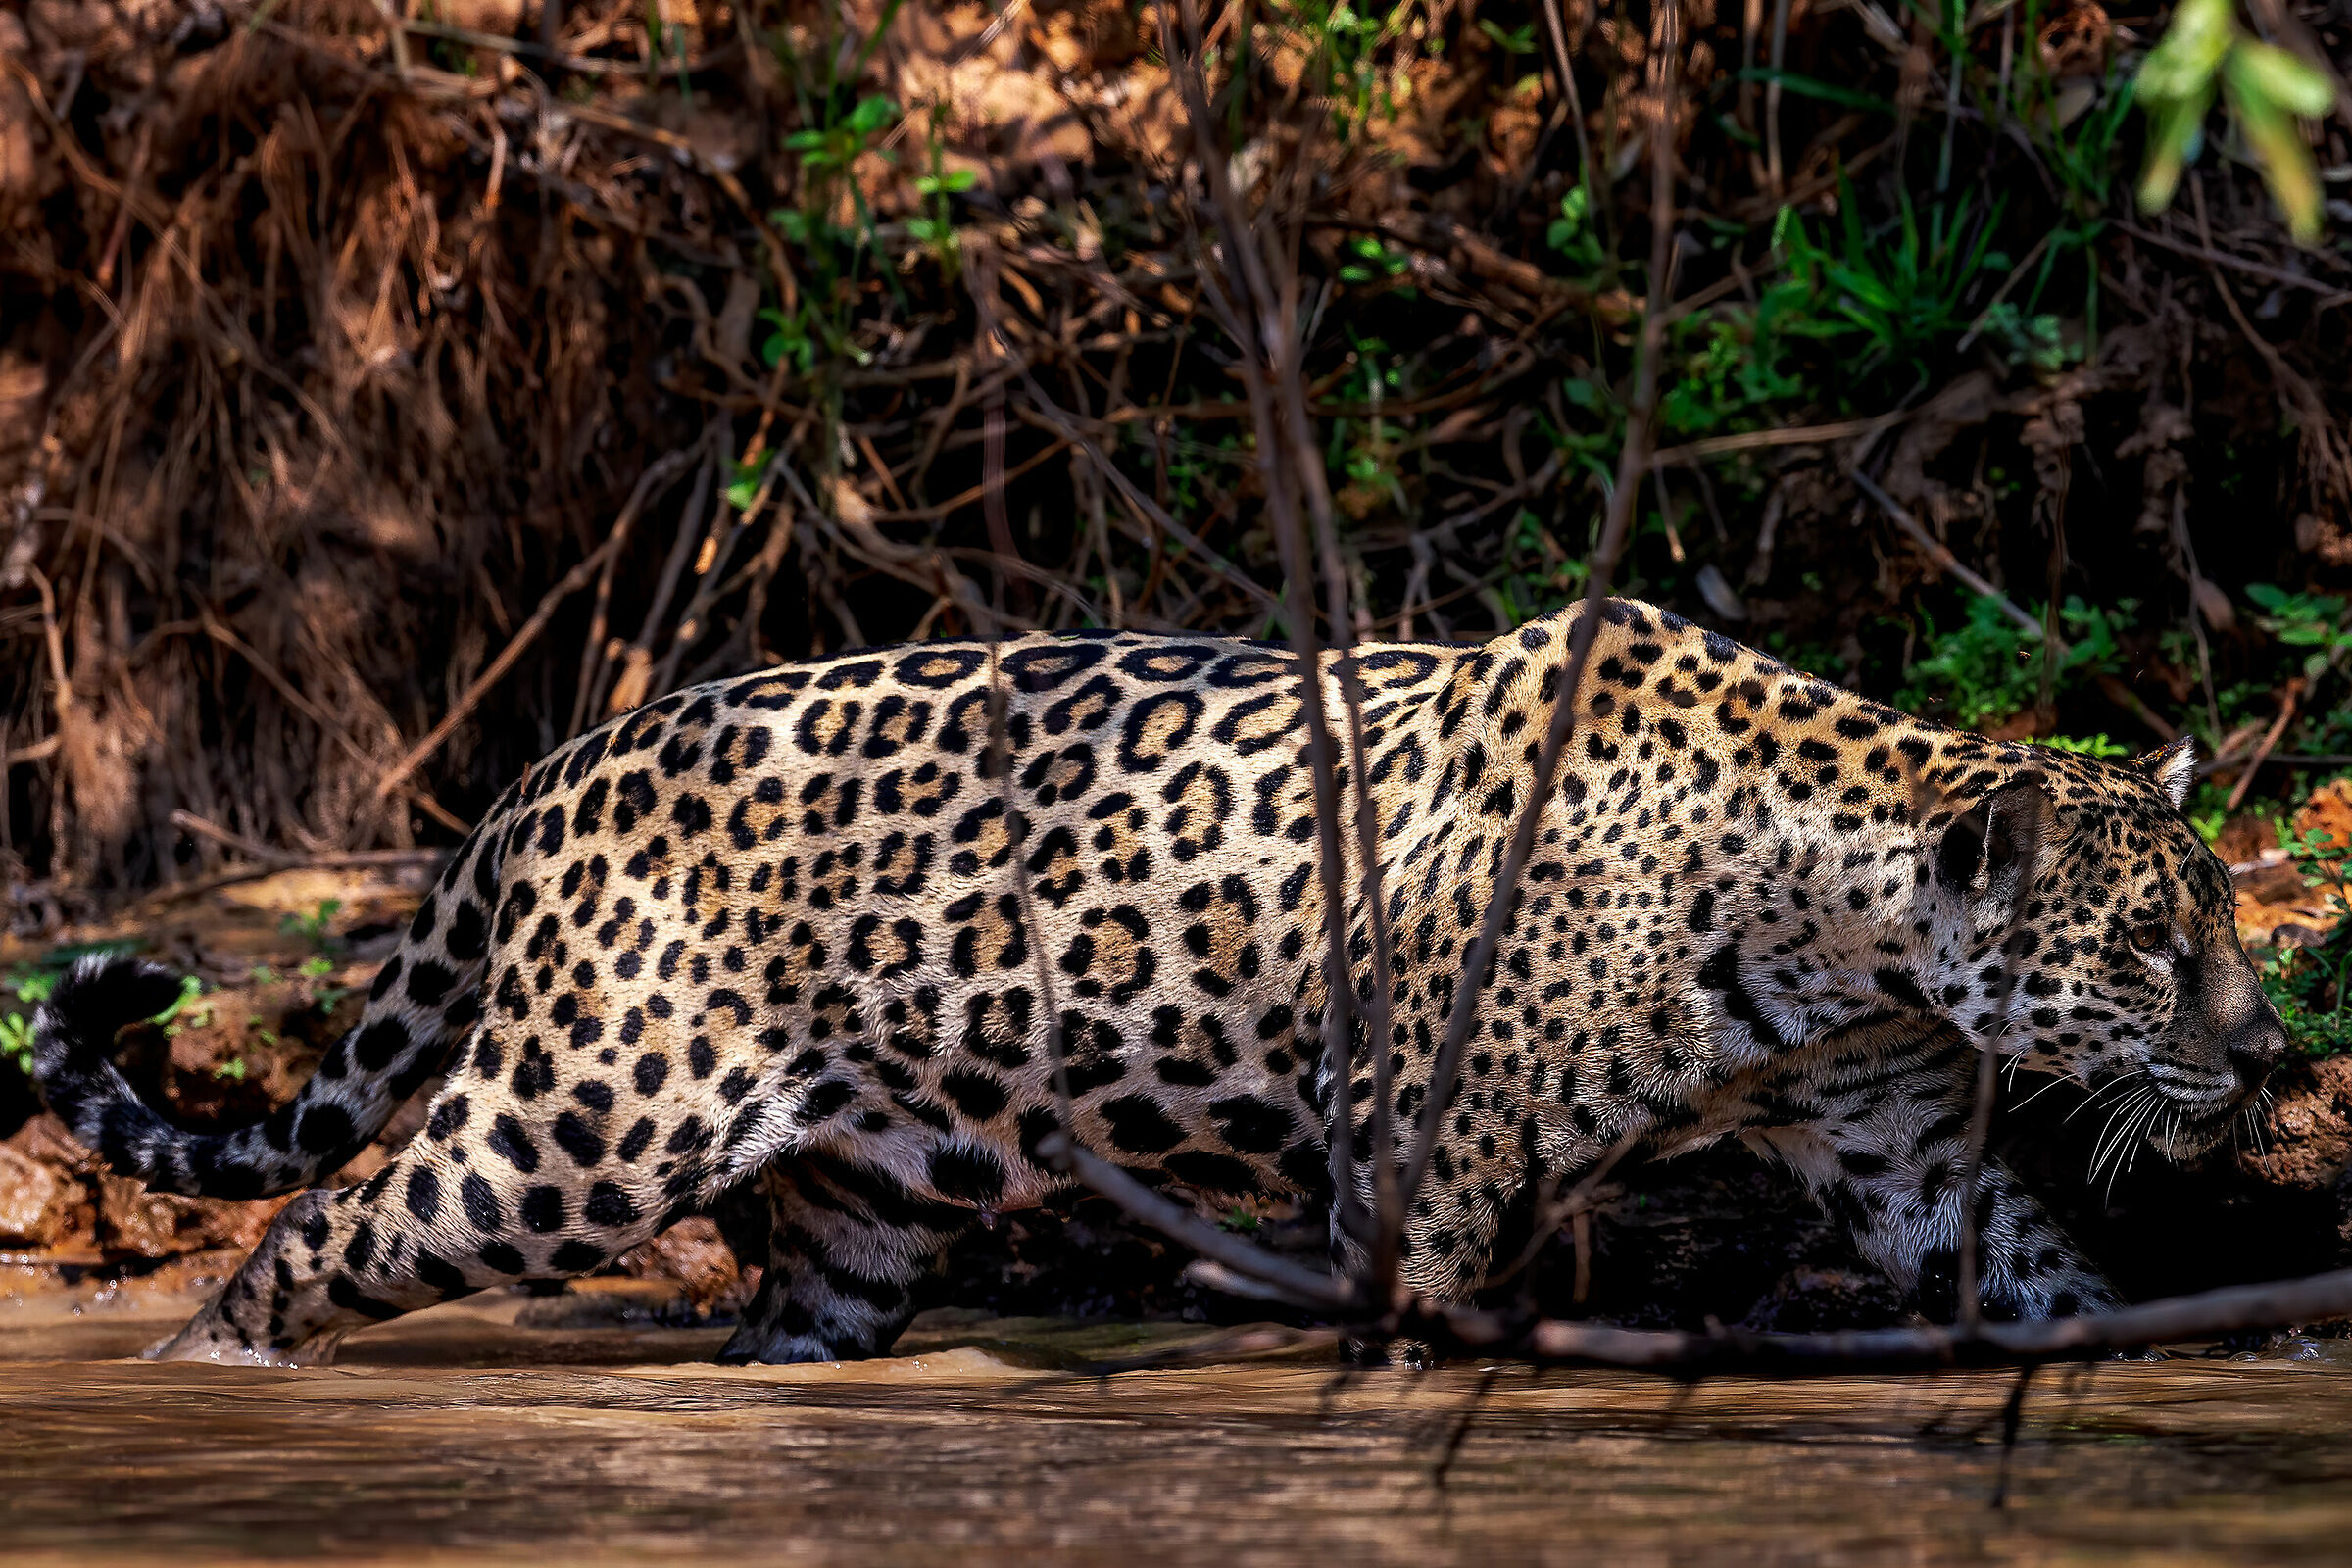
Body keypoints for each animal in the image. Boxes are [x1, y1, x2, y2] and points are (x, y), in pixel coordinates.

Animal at [33, 596, 2284, 1366]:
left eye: (2227, 925)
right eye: (2151, 945)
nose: (2272, 1056)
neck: (1838, 924)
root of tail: (545, 769)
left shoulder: (1901, 1139)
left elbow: (2034, 1266)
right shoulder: (1420, 1152)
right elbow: (1414, 1325)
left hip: (869, 1193)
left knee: (802, 1311)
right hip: (579, 1125)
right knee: (316, 1232)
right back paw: (199, 1380)